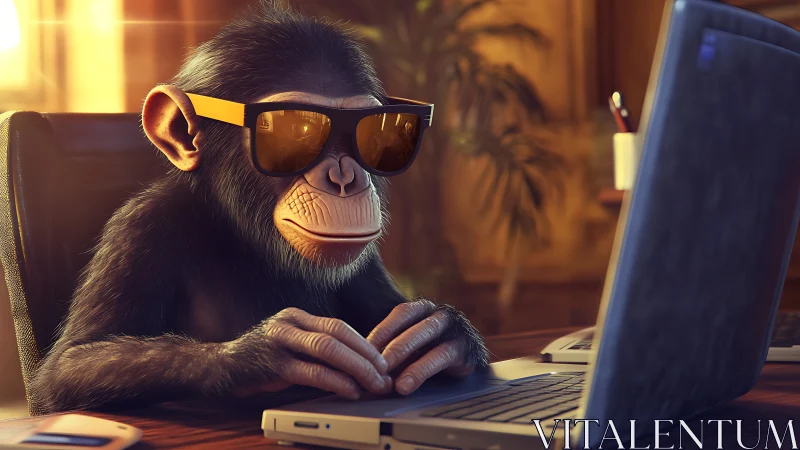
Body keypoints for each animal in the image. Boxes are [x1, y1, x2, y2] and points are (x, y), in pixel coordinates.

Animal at [30, 0, 489, 414]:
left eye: (381, 132)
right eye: (295, 128)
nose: (346, 176)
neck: (246, 237)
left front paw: (438, 333)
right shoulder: (140, 228)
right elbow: (70, 365)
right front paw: (272, 350)